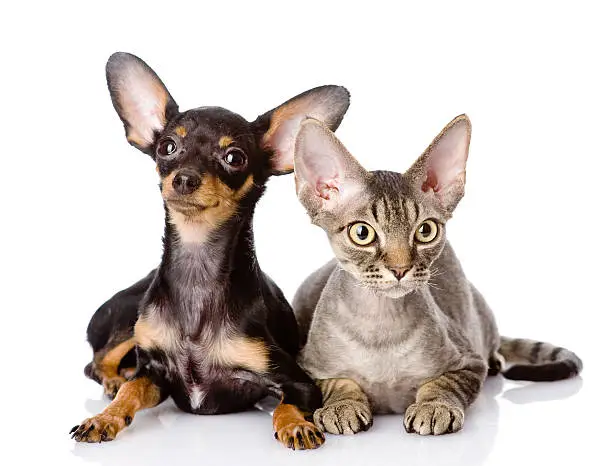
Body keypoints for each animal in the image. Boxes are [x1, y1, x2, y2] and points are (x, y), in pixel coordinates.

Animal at [70, 52, 350, 452]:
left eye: (234, 157)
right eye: (168, 147)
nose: (184, 178)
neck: (196, 264)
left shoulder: (299, 382)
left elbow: (287, 404)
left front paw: (295, 425)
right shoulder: (154, 373)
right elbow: (130, 391)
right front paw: (105, 417)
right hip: (130, 321)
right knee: (97, 363)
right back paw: (112, 380)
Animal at [292, 114, 584, 436]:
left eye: (426, 230)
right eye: (362, 233)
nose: (400, 269)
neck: (380, 328)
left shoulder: (469, 362)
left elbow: (446, 383)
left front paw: (434, 407)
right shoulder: (307, 366)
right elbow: (335, 382)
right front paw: (342, 405)